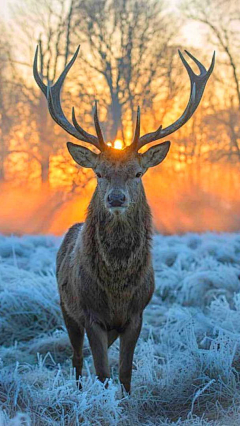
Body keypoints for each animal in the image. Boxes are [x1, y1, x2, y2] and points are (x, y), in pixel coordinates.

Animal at [32, 45, 215, 392]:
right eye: (99, 173)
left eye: (138, 172)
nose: (116, 198)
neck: (117, 290)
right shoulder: (90, 314)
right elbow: (103, 373)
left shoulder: (137, 315)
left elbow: (126, 372)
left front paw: (126, 398)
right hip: (65, 306)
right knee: (77, 359)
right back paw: (78, 390)